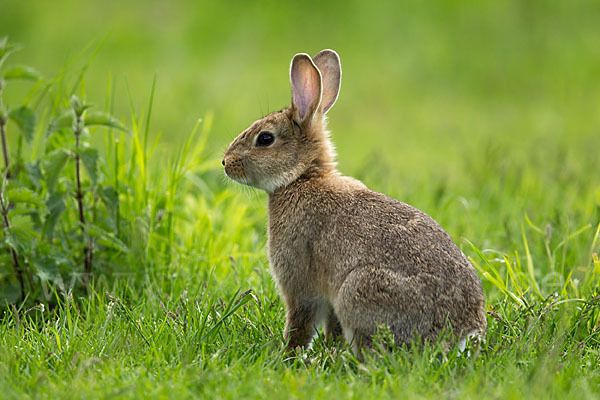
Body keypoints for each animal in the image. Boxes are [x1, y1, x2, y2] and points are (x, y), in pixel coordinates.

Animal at [223, 49, 486, 354]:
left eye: (264, 138)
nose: (225, 162)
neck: (301, 177)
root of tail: (461, 335)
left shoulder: (299, 282)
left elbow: (301, 322)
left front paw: (289, 354)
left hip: (358, 291)